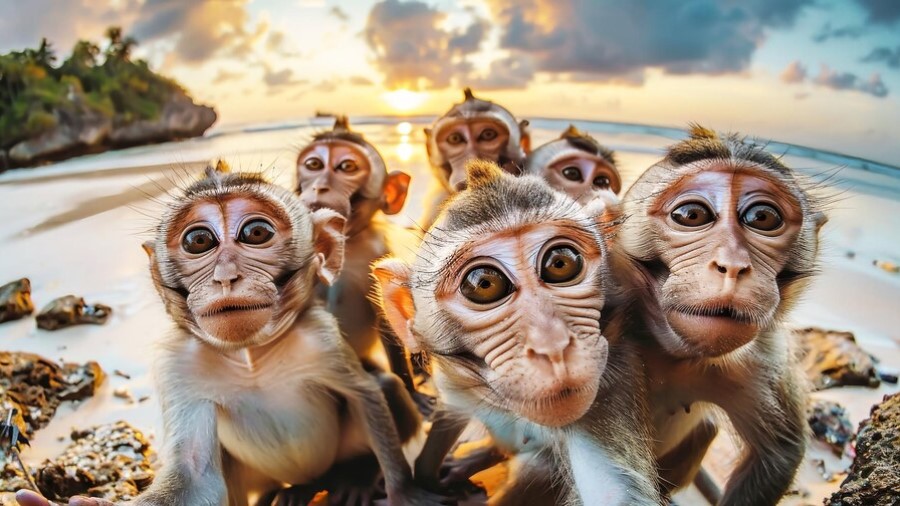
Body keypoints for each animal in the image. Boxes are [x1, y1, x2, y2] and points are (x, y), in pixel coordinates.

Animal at [16, 165, 439, 506]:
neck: (250, 356)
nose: (225, 277)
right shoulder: (178, 365)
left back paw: (351, 477)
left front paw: (403, 491)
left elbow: (364, 394)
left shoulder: (321, 339)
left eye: (256, 232)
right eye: (198, 241)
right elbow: (193, 470)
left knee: (382, 386)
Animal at [295, 116, 426, 409]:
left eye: (347, 167)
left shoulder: (377, 252)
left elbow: (387, 316)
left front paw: (412, 389)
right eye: (313, 165)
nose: (319, 185)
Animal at [373, 160, 662, 505]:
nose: (553, 347)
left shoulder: (611, 380)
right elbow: (450, 409)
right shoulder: (454, 377)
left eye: (560, 262)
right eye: (484, 283)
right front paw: (426, 475)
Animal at [610, 125, 826, 505]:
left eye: (762, 218)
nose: (733, 265)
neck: (673, 354)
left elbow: (779, 452)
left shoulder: (762, 357)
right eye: (691, 215)